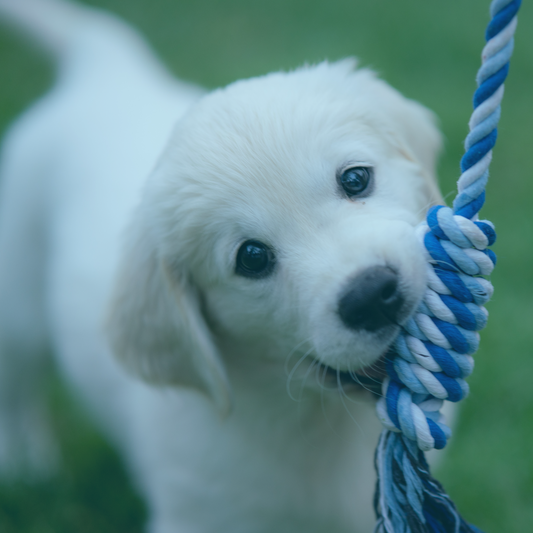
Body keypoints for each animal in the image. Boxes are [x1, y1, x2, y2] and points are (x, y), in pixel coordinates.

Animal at [0, 1, 440, 532]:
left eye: (355, 179)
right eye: (251, 257)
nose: (372, 295)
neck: (315, 421)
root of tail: (105, 75)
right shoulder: (196, 513)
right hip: (17, 303)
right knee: (16, 387)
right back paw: (25, 468)